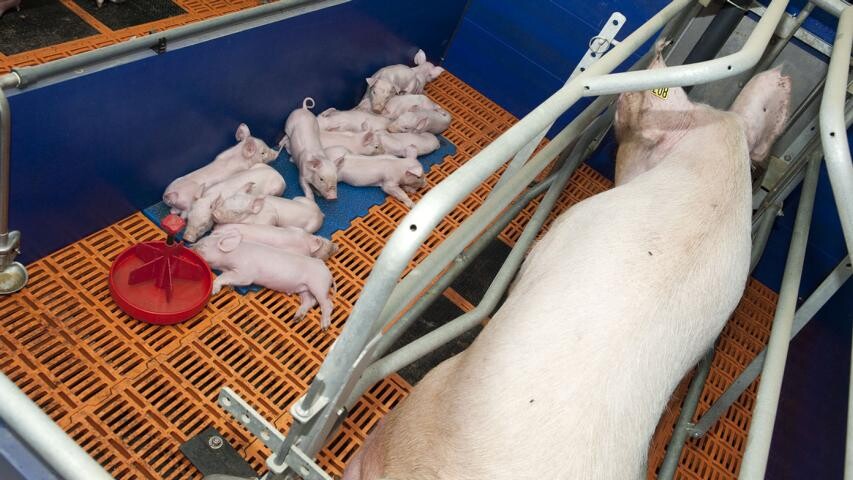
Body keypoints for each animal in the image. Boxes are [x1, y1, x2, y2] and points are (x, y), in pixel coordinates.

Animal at [192, 231, 336, 329]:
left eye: (203, 246)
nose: (191, 246)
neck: (230, 255)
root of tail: (326, 269)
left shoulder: (245, 273)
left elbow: (227, 277)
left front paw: (214, 291)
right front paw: (230, 288)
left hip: (318, 285)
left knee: (327, 303)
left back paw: (324, 326)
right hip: (304, 288)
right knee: (310, 301)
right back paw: (296, 318)